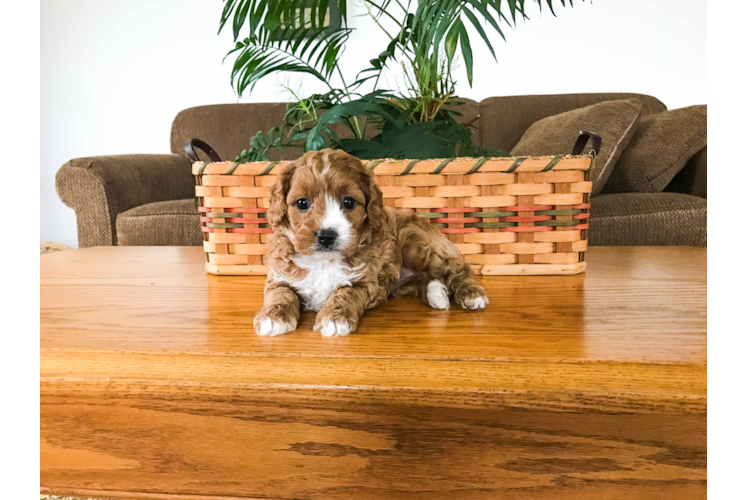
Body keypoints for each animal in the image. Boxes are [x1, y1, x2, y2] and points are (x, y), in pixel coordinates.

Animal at [254, 148, 488, 336]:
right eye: (302, 203)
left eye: (348, 202)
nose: (326, 236)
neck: (324, 262)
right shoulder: (279, 276)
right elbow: (280, 293)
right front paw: (273, 317)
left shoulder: (366, 282)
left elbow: (345, 293)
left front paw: (334, 319)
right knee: (425, 280)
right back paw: (437, 293)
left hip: (416, 244)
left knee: (458, 269)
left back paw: (472, 294)